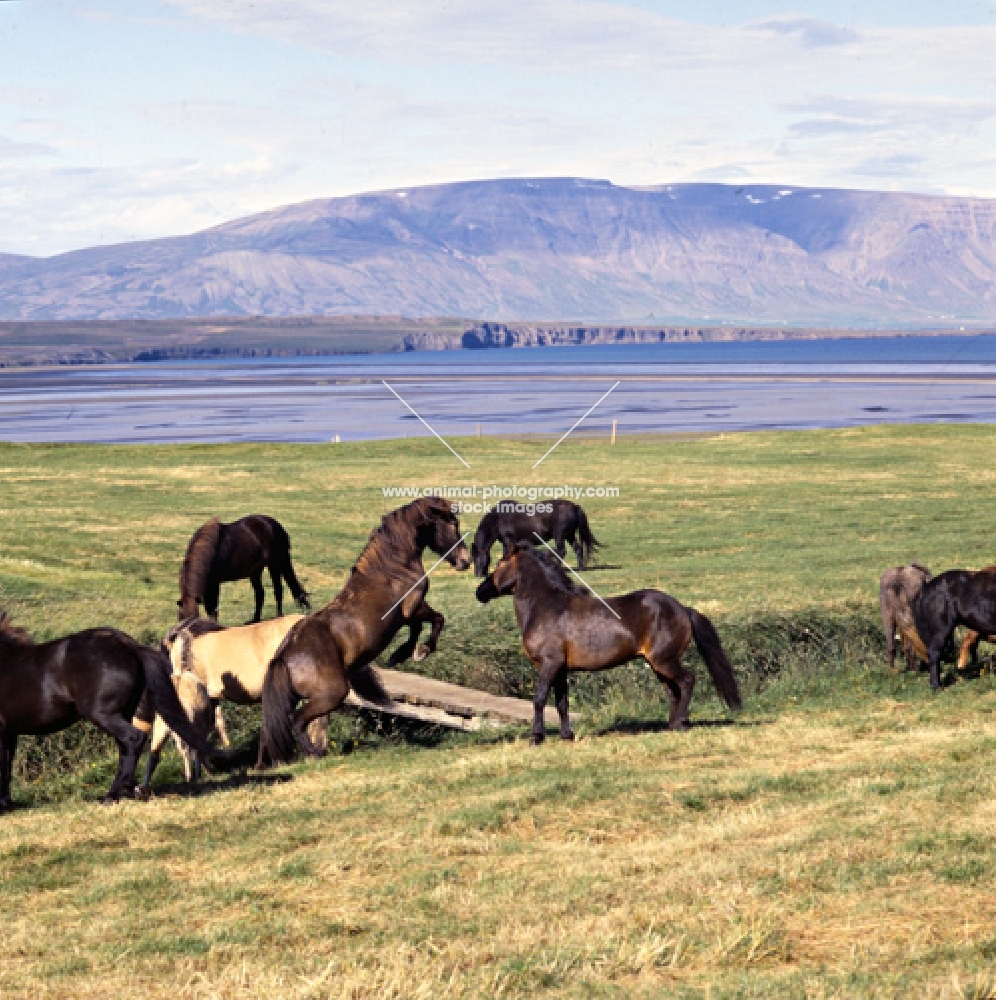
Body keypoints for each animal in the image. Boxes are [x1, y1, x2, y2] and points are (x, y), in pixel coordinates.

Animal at [0, 608, 237, 812]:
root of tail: (131, 647)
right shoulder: (9, 733)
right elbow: (7, 765)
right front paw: (7, 803)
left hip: (104, 715)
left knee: (133, 739)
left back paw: (112, 795)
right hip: (121, 714)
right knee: (128, 746)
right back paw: (132, 789)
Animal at [179, 516, 310, 624]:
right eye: (180, 618)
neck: (210, 551)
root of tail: (274, 524)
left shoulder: (214, 583)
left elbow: (213, 608)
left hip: (275, 564)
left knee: (278, 589)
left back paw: (279, 616)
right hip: (256, 571)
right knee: (260, 593)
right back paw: (255, 619)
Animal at [258, 494, 472, 764]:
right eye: (453, 524)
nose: (465, 561)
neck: (393, 566)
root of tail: (284, 655)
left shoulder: (406, 615)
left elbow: (417, 628)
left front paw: (401, 654)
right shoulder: (413, 608)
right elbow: (436, 620)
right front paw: (420, 651)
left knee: (276, 728)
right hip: (332, 694)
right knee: (296, 722)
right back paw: (317, 753)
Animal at [472, 500, 604, 580]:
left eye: (476, 557)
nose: (477, 575)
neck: (498, 518)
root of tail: (575, 506)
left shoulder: (508, 541)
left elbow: (505, 556)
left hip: (560, 535)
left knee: (561, 551)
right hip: (569, 535)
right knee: (578, 548)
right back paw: (581, 568)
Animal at [474, 548, 740, 744]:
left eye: (500, 562)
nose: (479, 592)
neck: (546, 607)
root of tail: (683, 609)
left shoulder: (549, 664)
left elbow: (539, 699)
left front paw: (536, 738)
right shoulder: (560, 669)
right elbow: (562, 702)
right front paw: (567, 735)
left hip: (665, 660)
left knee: (686, 681)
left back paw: (682, 724)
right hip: (657, 664)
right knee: (673, 691)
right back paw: (672, 725)